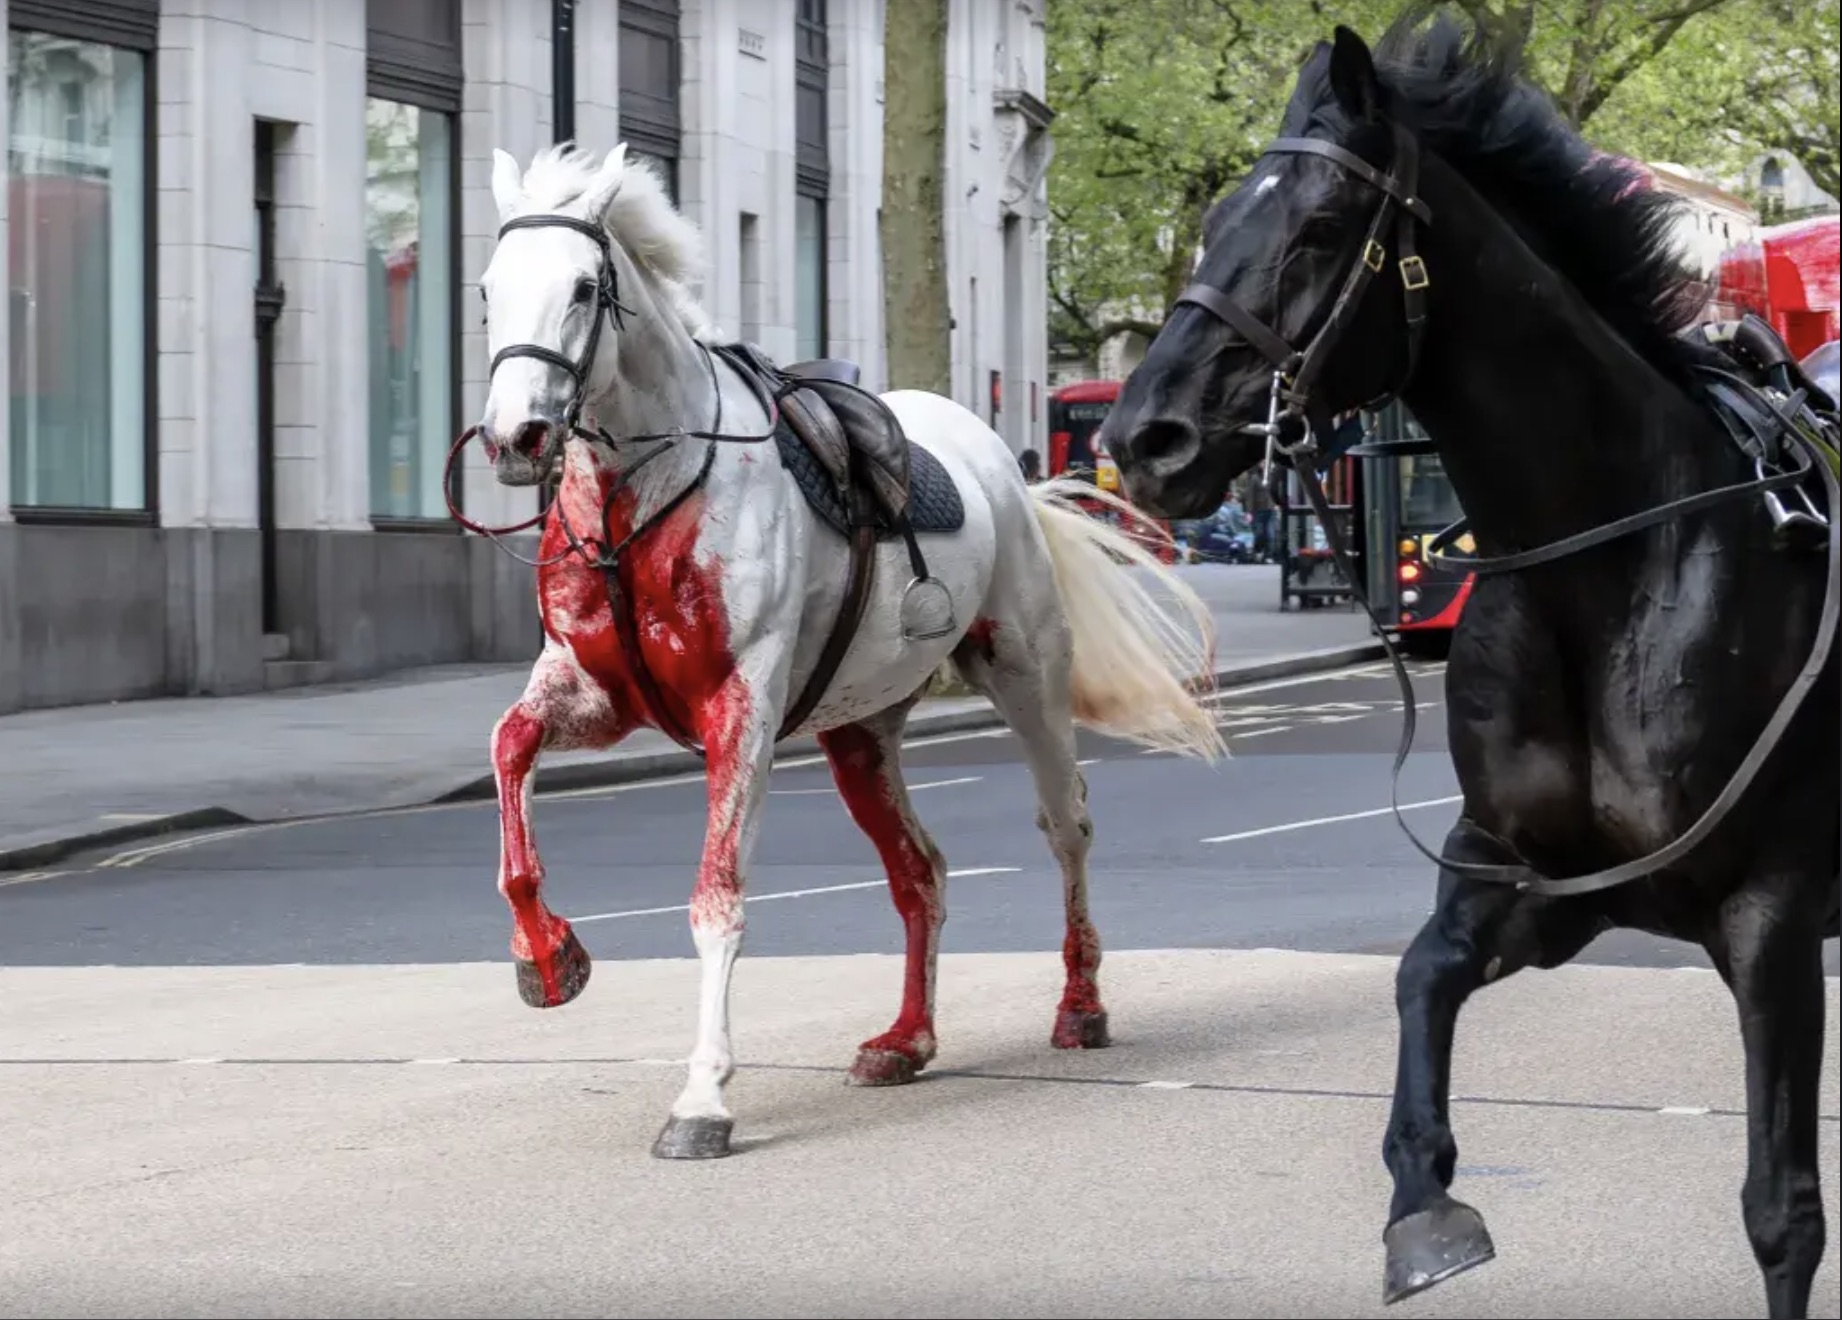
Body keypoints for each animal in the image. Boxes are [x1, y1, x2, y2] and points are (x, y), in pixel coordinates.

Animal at [467, 138, 1230, 1156]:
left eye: (586, 287)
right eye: (487, 289)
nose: (515, 437)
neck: (644, 494)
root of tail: (1003, 464)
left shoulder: (740, 707)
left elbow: (717, 897)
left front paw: (703, 1098)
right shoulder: (595, 692)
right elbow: (509, 749)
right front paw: (547, 957)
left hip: (1027, 672)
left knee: (1065, 825)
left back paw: (1080, 1005)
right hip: (860, 727)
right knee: (920, 871)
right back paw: (907, 1040)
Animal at [1097, 10, 1834, 1318]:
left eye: (1319, 229)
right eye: (1218, 217)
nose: (1145, 436)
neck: (1610, 574)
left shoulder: (1774, 914)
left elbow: (1782, 1212)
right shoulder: (1533, 885)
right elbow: (1420, 984)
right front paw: (1425, 1211)